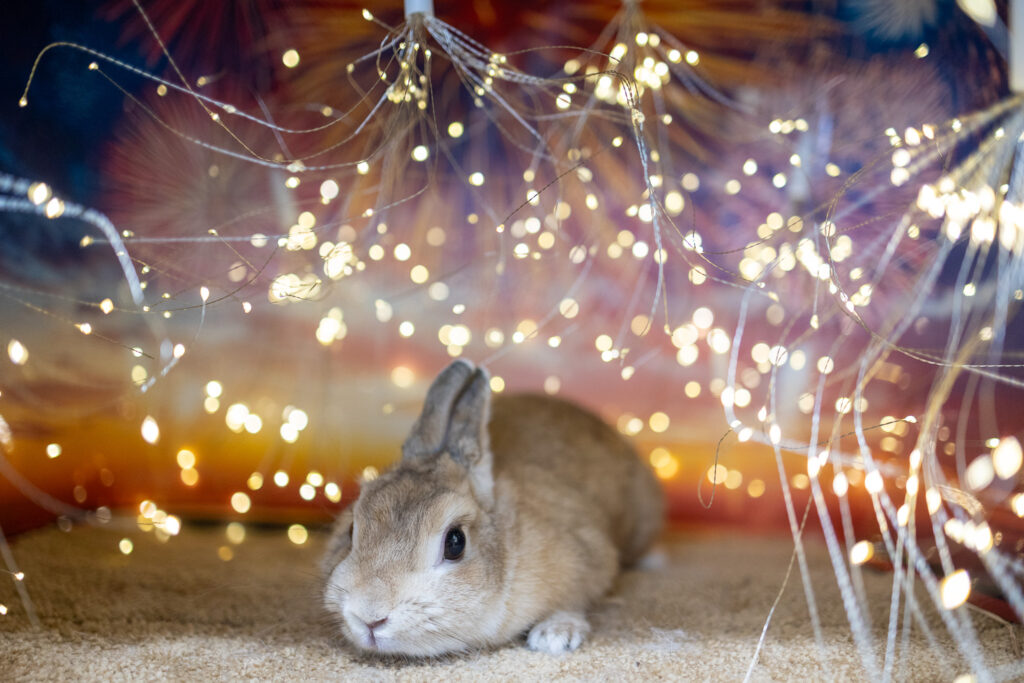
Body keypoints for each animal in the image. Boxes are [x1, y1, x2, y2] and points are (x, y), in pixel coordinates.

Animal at [322, 359, 664, 657]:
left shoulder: (588, 559)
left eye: (455, 542)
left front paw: (554, 637)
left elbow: (575, 600)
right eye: (351, 530)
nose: (367, 617)